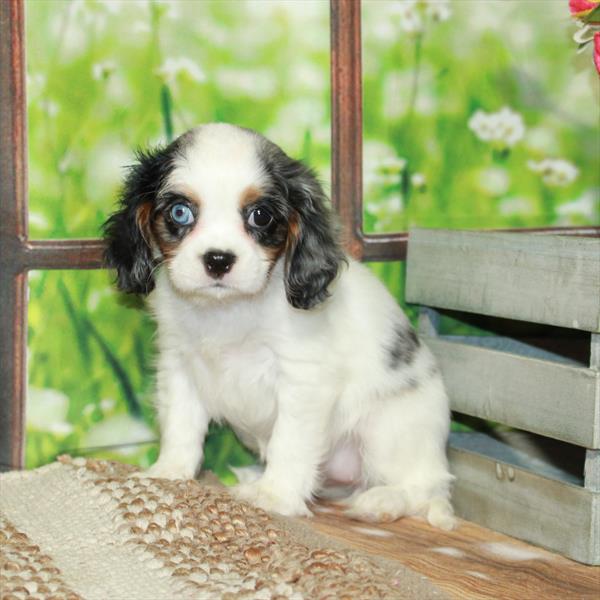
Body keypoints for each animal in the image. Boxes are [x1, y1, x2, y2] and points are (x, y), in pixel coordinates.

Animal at [103, 124, 458, 528]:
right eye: (180, 212)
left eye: (260, 216)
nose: (218, 259)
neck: (229, 310)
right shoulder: (179, 367)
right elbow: (181, 424)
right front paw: (170, 472)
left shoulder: (303, 381)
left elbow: (291, 442)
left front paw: (276, 496)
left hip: (387, 432)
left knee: (425, 488)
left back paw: (383, 500)